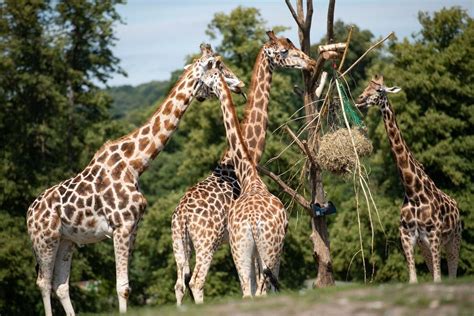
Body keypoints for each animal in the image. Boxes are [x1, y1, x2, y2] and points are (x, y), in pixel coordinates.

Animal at [25, 44, 244, 316]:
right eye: (218, 65)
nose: (240, 84)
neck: (135, 164)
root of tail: (29, 213)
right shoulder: (121, 226)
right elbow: (122, 287)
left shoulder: (134, 227)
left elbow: (127, 285)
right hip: (45, 239)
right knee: (43, 283)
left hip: (67, 241)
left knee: (61, 285)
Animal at [201, 68, 286, 298]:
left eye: (208, 78)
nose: (200, 93)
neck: (250, 177)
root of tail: (253, 222)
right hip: (265, 249)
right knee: (262, 290)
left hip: (241, 249)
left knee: (249, 291)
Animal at [358, 74, 462, 284]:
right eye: (366, 87)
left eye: (379, 90)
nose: (360, 99)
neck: (413, 192)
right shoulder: (407, 237)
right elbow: (413, 278)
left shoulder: (434, 236)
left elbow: (438, 278)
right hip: (426, 246)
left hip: (454, 239)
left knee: (452, 271)